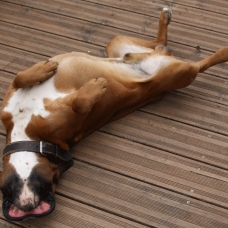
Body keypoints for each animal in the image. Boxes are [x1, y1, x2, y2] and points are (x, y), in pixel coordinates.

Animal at [0, 7, 228, 221]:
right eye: (50, 185)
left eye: (42, 186)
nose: (28, 205)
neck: (30, 134)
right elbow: (80, 103)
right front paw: (97, 87)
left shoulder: (9, 102)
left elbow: (19, 77)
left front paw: (43, 69)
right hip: (180, 73)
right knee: (197, 64)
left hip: (118, 43)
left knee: (165, 47)